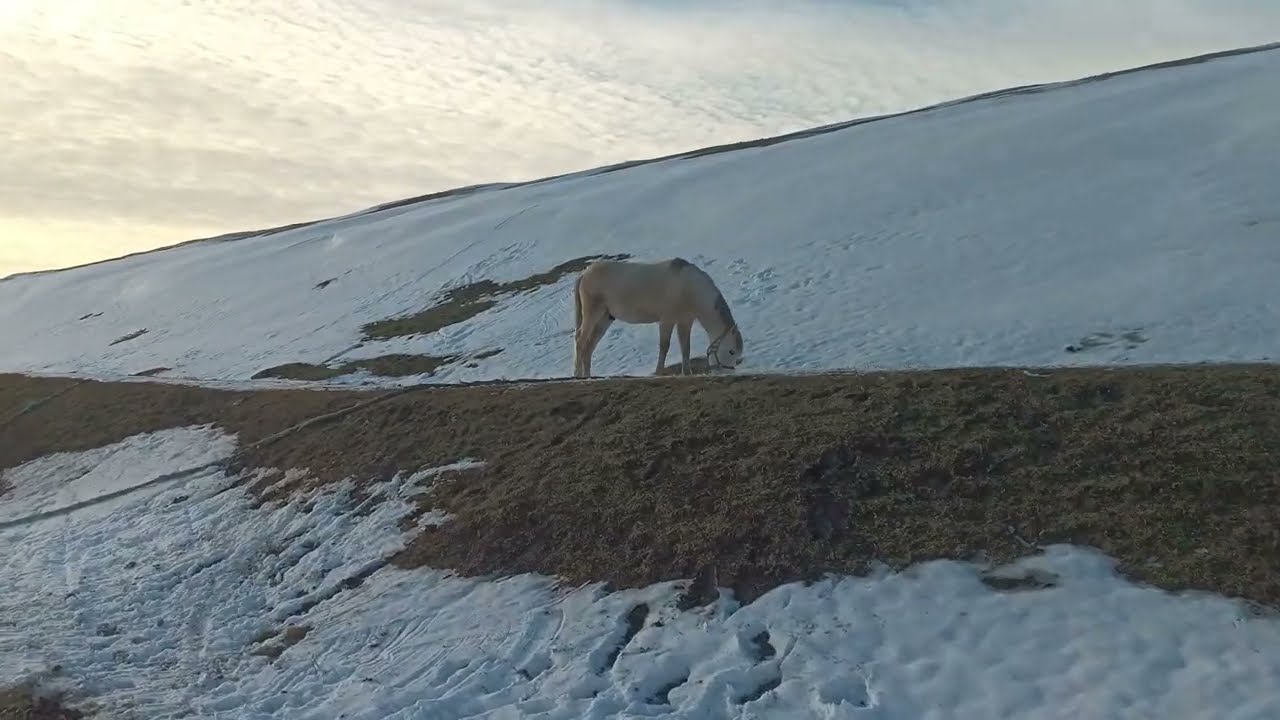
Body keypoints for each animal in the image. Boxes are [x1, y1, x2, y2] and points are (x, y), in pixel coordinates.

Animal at [572, 257, 744, 378]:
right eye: (731, 351)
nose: (727, 372)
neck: (689, 288)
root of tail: (584, 273)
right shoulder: (667, 320)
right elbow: (664, 346)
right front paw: (659, 372)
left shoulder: (685, 321)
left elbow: (685, 348)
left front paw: (686, 372)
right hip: (593, 313)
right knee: (581, 340)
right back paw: (579, 375)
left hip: (605, 318)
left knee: (589, 345)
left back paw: (588, 375)